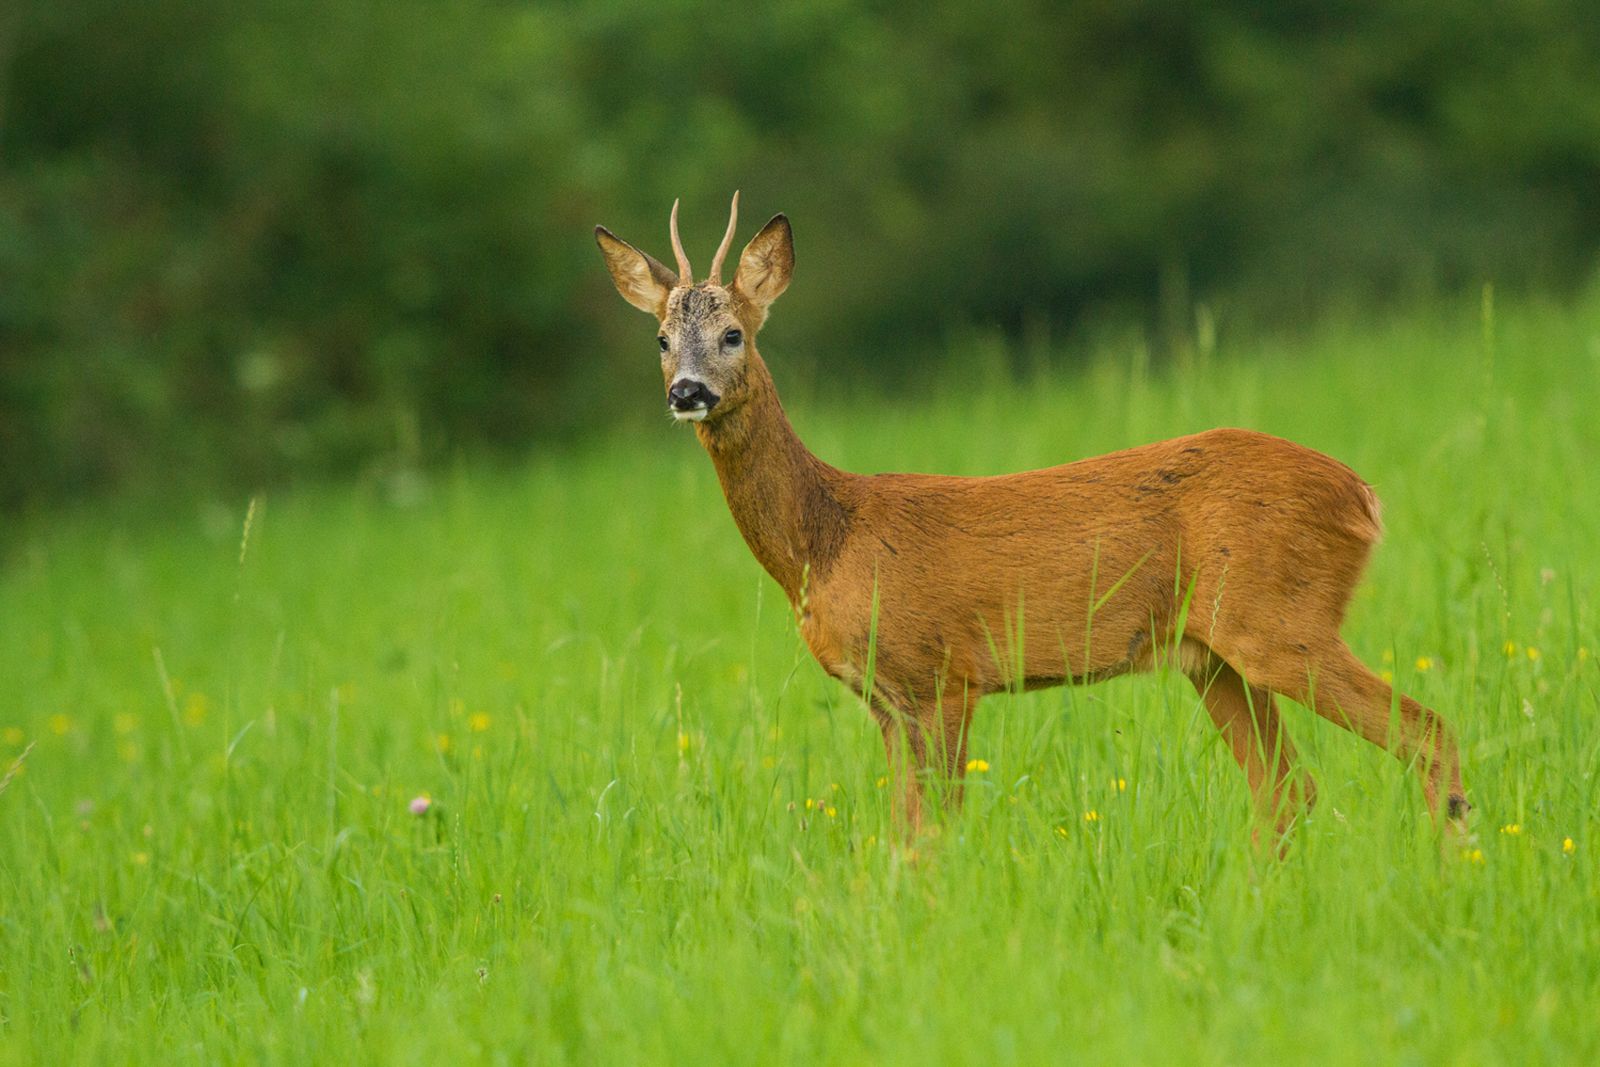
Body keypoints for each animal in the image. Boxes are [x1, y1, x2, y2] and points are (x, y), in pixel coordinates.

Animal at [595, 194, 1465, 844]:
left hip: (1279, 618)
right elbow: (902, 835)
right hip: (1212, 655)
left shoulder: (944, 674)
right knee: (1289, 791)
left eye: (733, 332)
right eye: (663, 339)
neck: (827, 538)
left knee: (1427, 732)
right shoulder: (886, 698)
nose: (687, 392)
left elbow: (936, 834)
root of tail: (1362, 495)